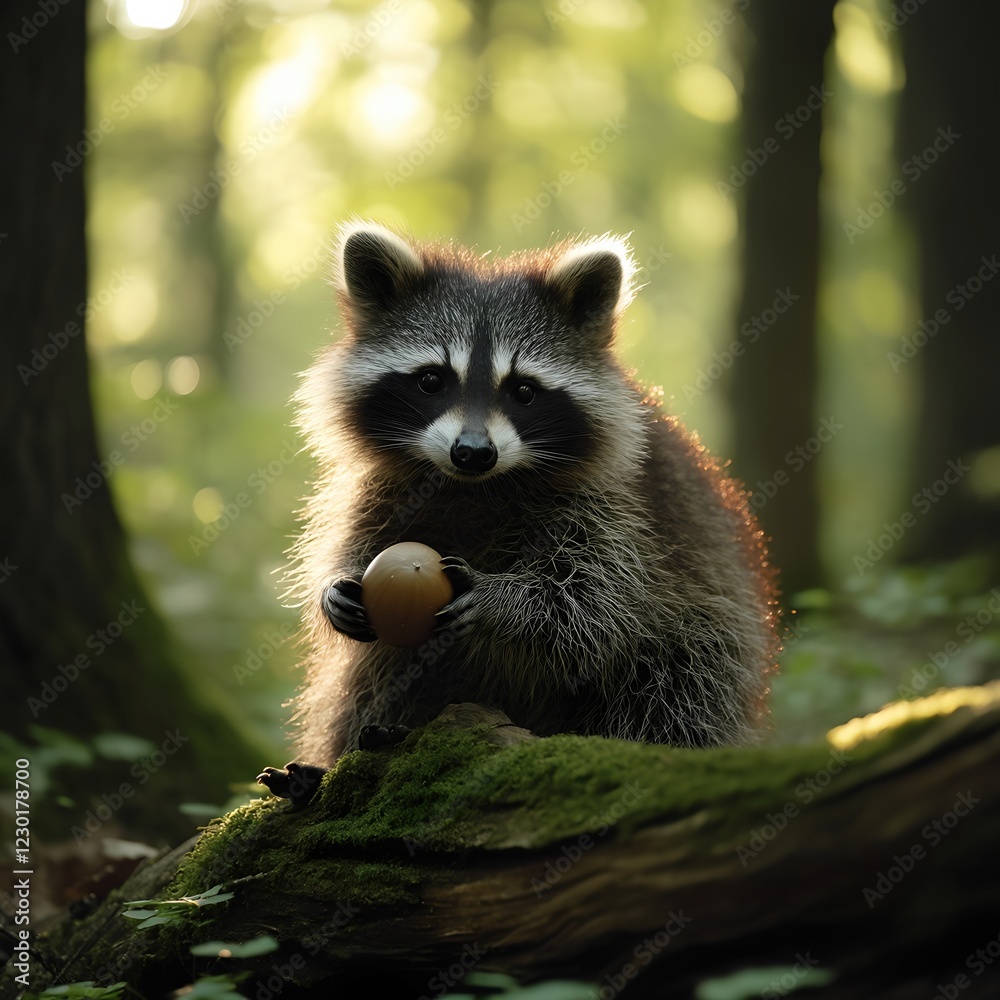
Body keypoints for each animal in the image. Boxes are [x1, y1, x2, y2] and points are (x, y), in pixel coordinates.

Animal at [266, 221, 778, 787]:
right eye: (431, 380)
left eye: (524, 391)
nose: (472, 452)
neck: (473, 487)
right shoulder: (383, 490)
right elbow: (356, 543)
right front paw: (334, 585)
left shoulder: (618, 509)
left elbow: (593, 607)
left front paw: (504, 601)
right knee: (369, 679)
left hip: (709, 632)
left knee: (677, 684)